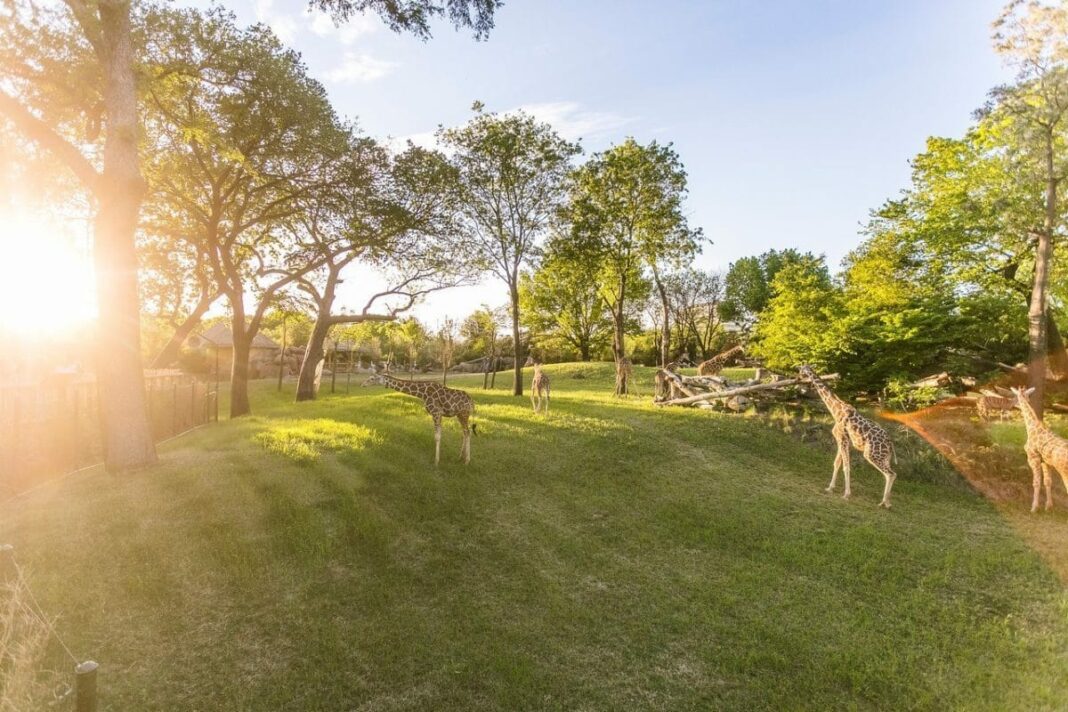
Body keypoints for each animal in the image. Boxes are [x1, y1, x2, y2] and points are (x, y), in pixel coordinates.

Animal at [798, 365, 898, 508]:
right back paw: (887, 502)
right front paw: (830, 488)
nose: (798, 378)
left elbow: (846, 467)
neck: (836, 410)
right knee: (888, 474)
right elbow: (837, 464)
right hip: (884, 457)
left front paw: (846, 494)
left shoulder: (842, 438)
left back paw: (883, 503)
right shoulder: (843, 440)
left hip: (871, 454)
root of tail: (890, 443)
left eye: (800, 370)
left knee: (891, 474)